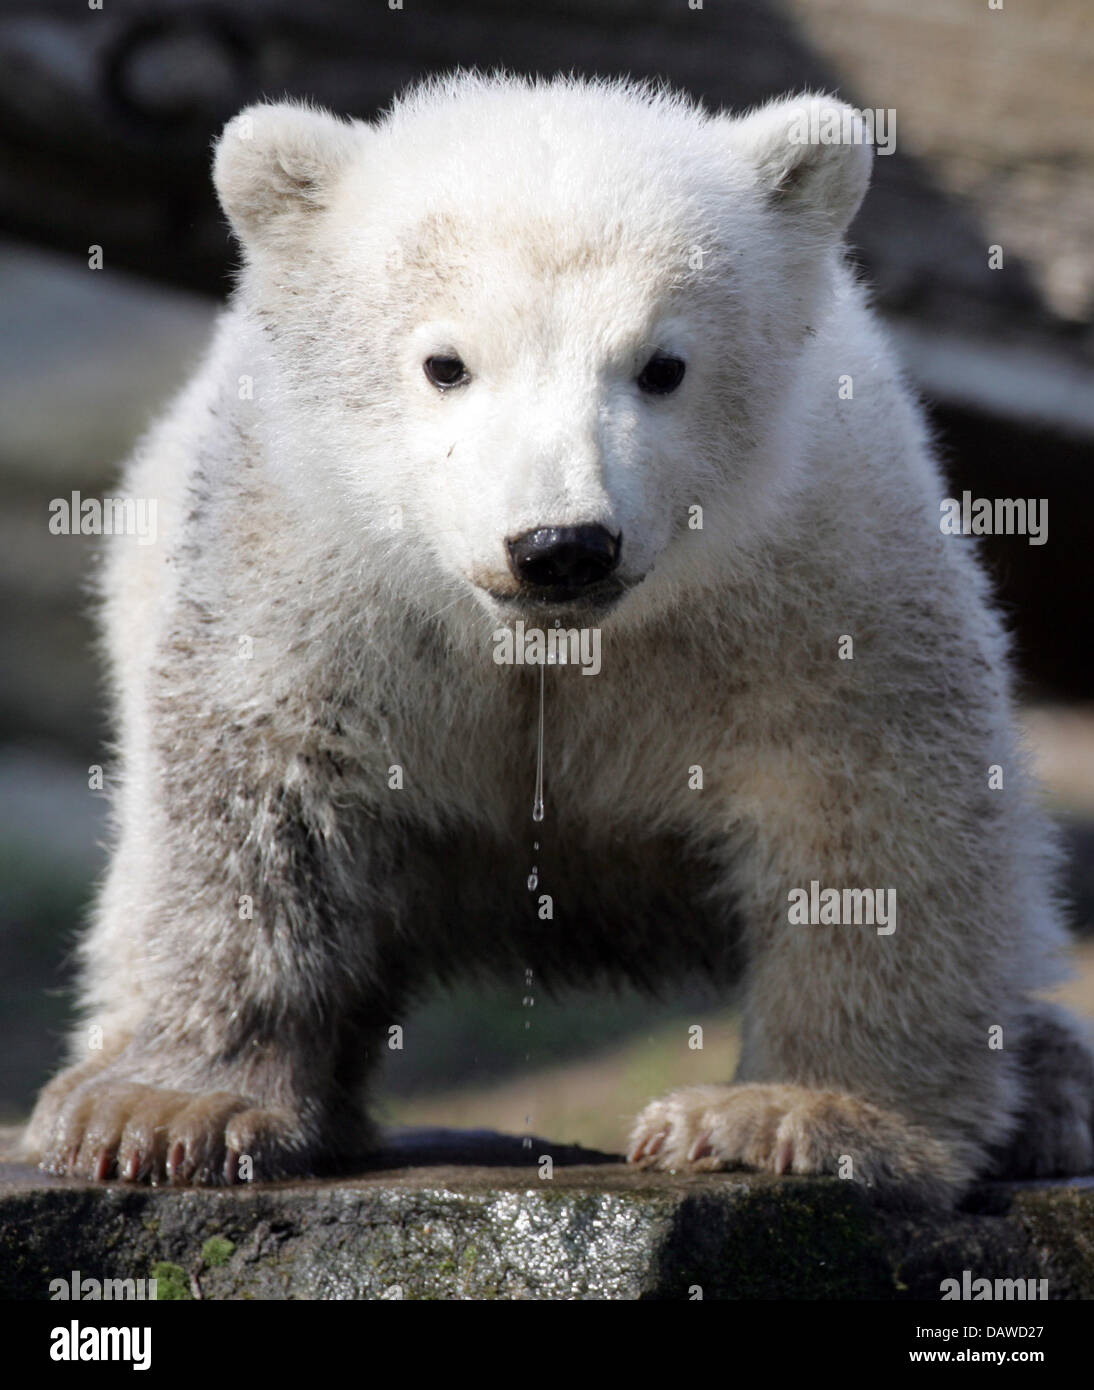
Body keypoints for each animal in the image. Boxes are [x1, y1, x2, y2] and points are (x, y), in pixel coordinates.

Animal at [24, 72, 1094, 1204]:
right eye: (444, 363)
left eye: (662, 366)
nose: (560, 546)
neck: (550, 641)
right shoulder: (305, 567)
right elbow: (258, 800)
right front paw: (162, 1110)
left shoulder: (814, 566)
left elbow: (866, 810)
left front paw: (786, 1115)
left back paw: (1048, 1091)